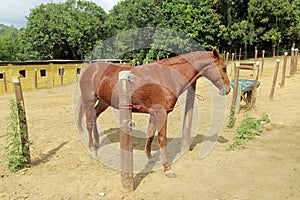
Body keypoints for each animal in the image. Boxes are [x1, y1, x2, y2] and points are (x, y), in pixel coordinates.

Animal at [77, 47, 230, 173]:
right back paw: (92, 149)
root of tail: (90, 69)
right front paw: (167, 167)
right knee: (89, 122)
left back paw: (97, 142)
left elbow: (150, 134)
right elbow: (162, 139)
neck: (167, 77)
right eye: (223, 68)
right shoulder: (161, 113)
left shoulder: (153, 112)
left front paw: (149, 157)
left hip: (103, 102)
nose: (227, 89)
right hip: (89, 100)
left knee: (94, 117)